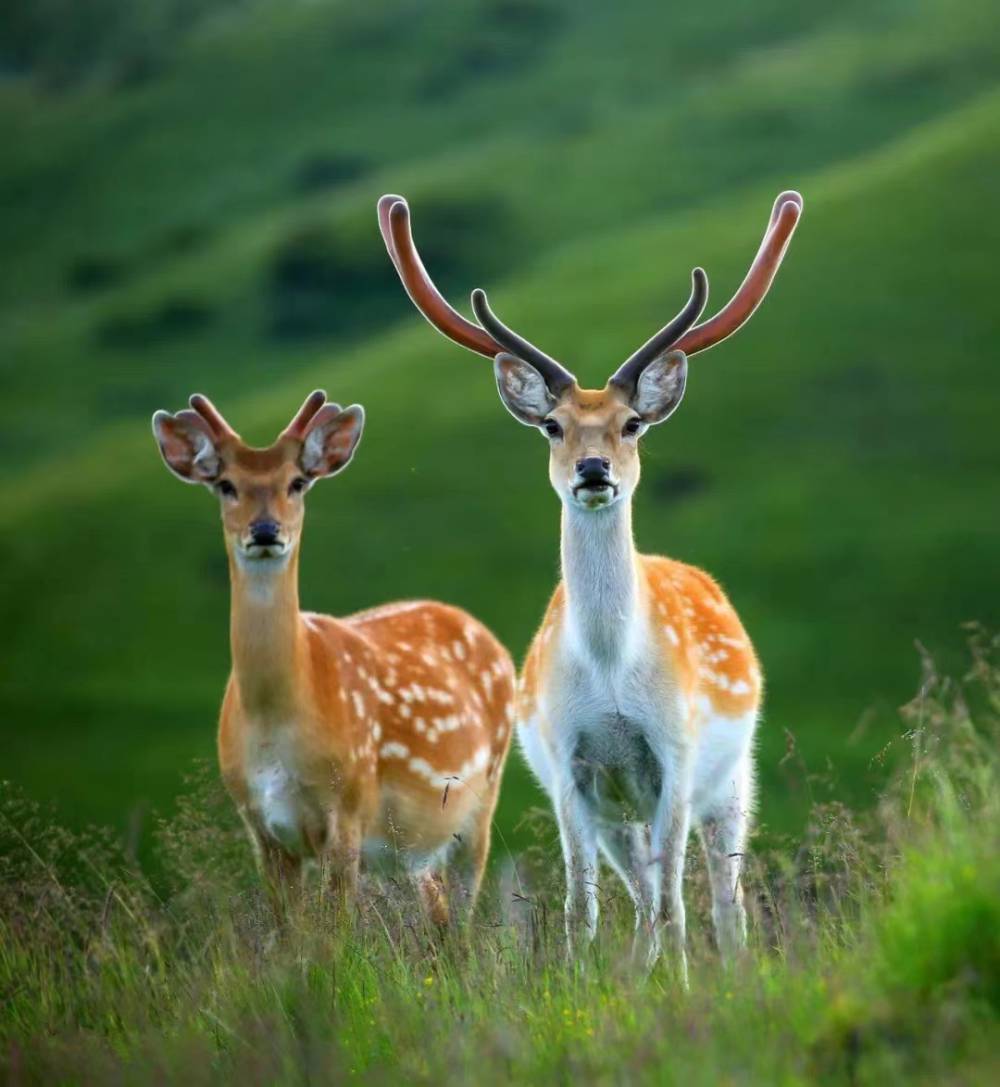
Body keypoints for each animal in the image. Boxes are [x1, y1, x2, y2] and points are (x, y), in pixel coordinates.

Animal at [152, 391, 519, 926]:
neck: (275, 727)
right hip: (415, 846)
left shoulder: (347, 808)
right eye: (226, 485)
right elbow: (291, 933)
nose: (266, 530)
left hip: (480, 799)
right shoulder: (259, 825)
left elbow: (335, 933)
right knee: (438, 914)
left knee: (465, 912)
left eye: (296, 482)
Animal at [376, 189, 804, 978]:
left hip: (732, 778)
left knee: (717, 899)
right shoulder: (568, 766)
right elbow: (583, 908)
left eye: (632, 423)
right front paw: (581, 982)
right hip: (616, 813)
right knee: (639, 893)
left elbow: (673, 903)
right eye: (552, 425)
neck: (611, 674)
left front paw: (682, 988)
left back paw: (725, 970)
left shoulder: (674, 753)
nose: (594, 469)